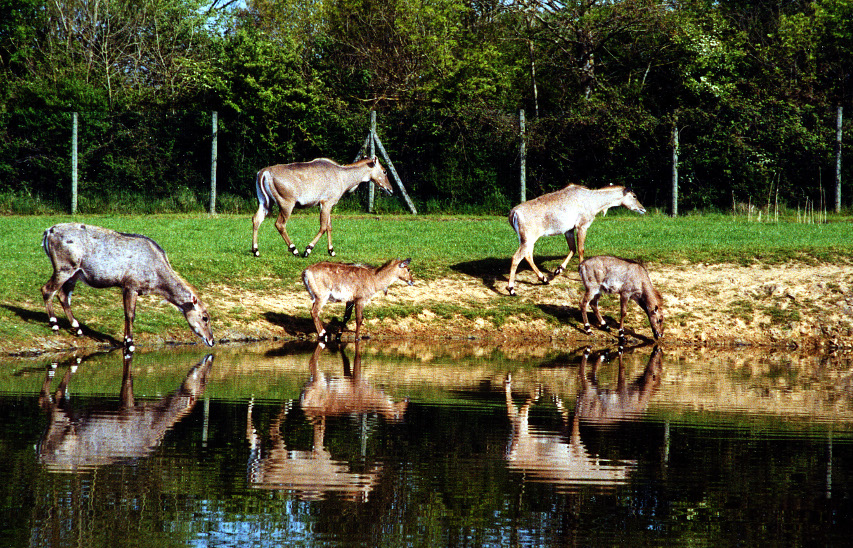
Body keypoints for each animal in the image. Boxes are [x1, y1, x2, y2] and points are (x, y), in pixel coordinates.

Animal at [41, 223, 215, 352]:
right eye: (205, 317)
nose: (212, 340)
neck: (157, 275)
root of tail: (48, 232)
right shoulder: (130, 286)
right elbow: (130, 314)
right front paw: (129, 342)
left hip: (75, 274)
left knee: (63, 295)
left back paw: (78, 330)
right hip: (64, 268)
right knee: (47, 289)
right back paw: (54, 325)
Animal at [248, 154, 392, 256]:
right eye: (384, 171)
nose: (390, 189)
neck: (342, 175)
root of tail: (264, 172)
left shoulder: (327, 205)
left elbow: (329, 227)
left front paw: (331, 251)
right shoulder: (326, 203)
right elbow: (323, 227)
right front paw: (308, 249)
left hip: (265, 202)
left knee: (256, 219)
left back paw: (256, 250)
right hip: (286, 204)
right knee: (280, 224)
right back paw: (294, 249)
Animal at [506, 184, 644, 296]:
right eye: (634, 196)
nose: (643, 209)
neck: (593, 200)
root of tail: (514, 213)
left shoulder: (569, 230)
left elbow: (572, 248)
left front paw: (558, 270)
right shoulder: (582, 226)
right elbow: (581, 249)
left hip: (526, 240)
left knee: (528, 256)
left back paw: (544, 279)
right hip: (528, 239)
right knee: (516, 257)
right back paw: (511, 289)